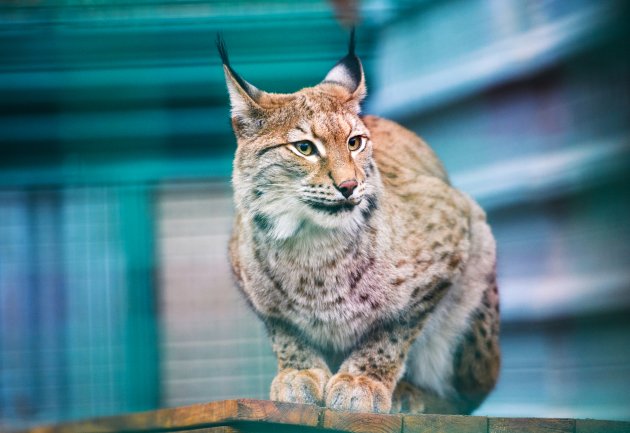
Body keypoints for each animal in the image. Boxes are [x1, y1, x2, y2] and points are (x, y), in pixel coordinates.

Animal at [220, 32, 502, 414]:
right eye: (304, 148)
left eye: (355, 143)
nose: (350, 185)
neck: (312, 242)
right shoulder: (249, 278)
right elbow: (285, 330)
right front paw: (300, 373)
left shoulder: (456, 226)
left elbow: (394, 328)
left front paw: (361, 382)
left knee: (468, 400)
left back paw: (414, 396)